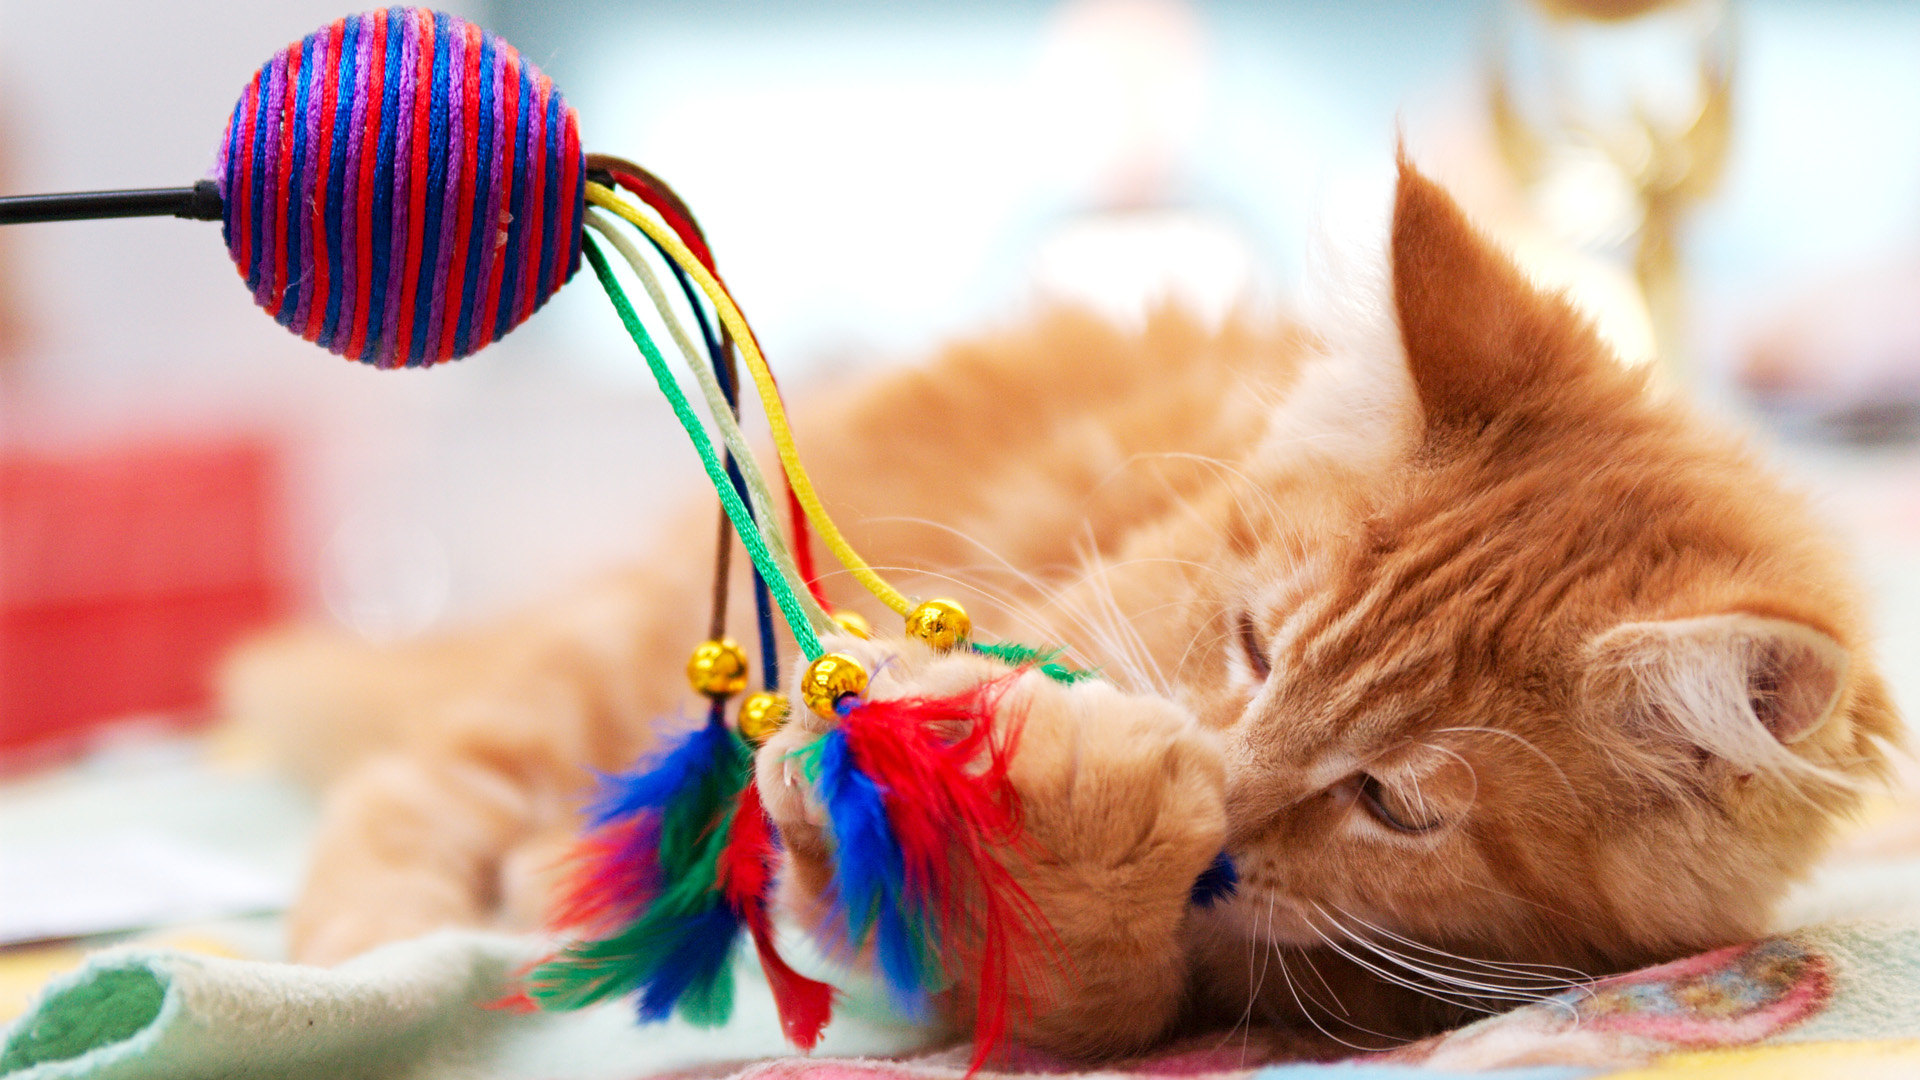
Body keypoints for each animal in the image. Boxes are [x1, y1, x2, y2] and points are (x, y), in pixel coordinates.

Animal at [220, 157, 1889, 1053]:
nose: (1228, 807)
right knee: (410, 790)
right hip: (600, 667)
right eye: (1253, 644)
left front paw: (1086, 837)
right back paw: (371, 965)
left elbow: (1084, 986)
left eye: (1398, 806)